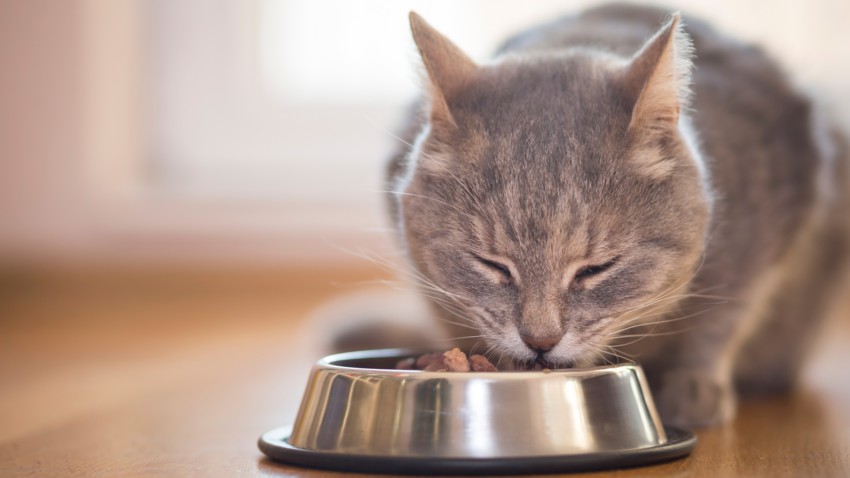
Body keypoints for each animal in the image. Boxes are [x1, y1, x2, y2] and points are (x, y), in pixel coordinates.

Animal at [384, 2, 848, 430]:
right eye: (492, 265)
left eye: (596, 269)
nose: (540, 341)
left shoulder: (768, 228)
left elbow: (724, 319)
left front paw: (694, 384)